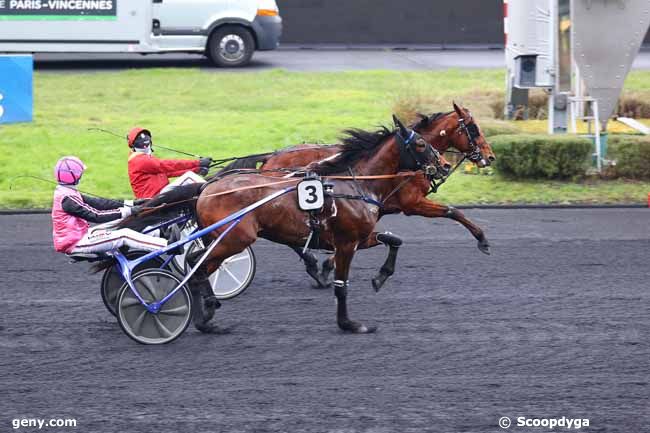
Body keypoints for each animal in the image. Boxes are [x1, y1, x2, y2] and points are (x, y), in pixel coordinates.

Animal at [123, 116, 442, 332]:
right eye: (421, 143)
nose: (443, 166)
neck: (353, 184)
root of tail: (206, 188)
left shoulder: (359, 238)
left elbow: (394, 239)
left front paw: (380, 277)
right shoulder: (347, 242)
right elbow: (342, 285)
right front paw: (350, 324)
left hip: (221, 238)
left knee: (196, 264)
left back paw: (206, 315)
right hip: (235, 238)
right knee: (197, 265)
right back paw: (201, 313)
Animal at [215, 103, 494, 288]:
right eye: (473, 128)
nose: (490, 156)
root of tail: (272, 156)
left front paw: (329, 264)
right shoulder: (411, 202)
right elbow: (452, 211)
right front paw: (482, 239)